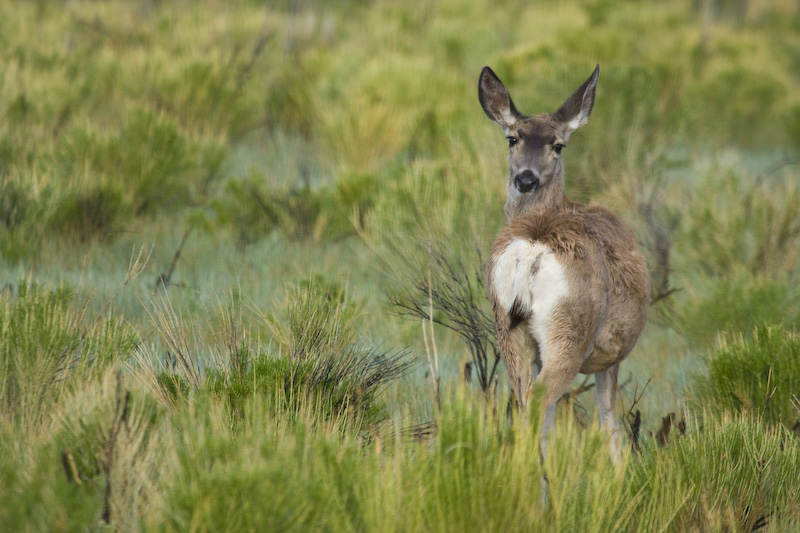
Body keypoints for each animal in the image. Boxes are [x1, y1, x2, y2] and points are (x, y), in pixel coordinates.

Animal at [478, 65, 648, 458]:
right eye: (513, 139)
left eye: (558, 145)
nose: (526, 178)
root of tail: (533, 250)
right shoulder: (612, 355)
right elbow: (609, 419)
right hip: (570, 329)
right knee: (540, 400)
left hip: (508, 328)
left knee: (524, 398)